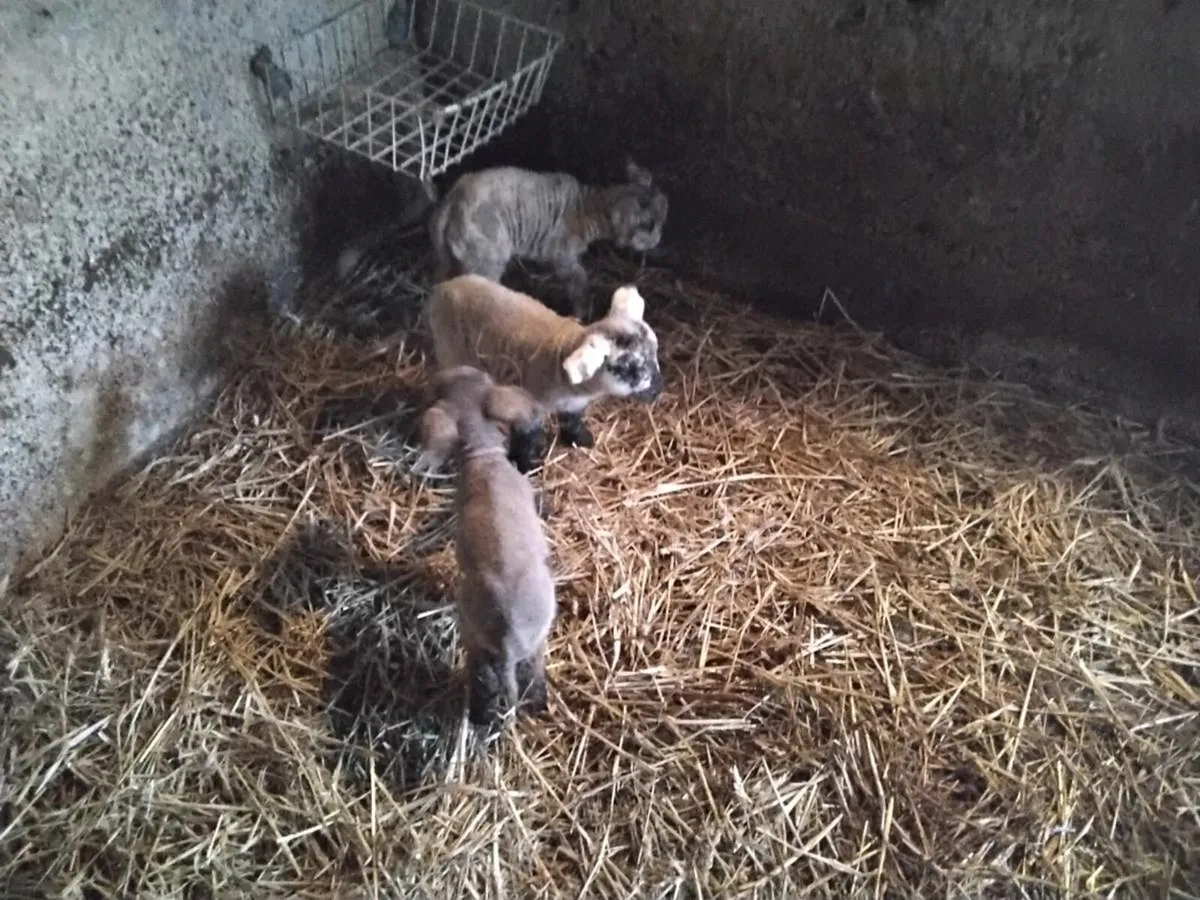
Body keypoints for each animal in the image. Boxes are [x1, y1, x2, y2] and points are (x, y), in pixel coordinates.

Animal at [423, 275, 664, 474]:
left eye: (655, 351)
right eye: (628, 367)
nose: (657, 392)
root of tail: (443, 286)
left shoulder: (573, 404)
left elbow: (572, 421)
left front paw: (581, 439)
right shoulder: (528, 407)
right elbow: (527, 438)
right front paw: (527, 465)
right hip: (448, 350)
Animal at [428, 159, 669, 321]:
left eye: (661, 223)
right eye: (650, 227)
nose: (658, 239)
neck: (588, 207)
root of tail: (454, 198)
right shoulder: (563, 257)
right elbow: (579, 282)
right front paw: (581, 311)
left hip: (447, 258)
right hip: (488, 258)